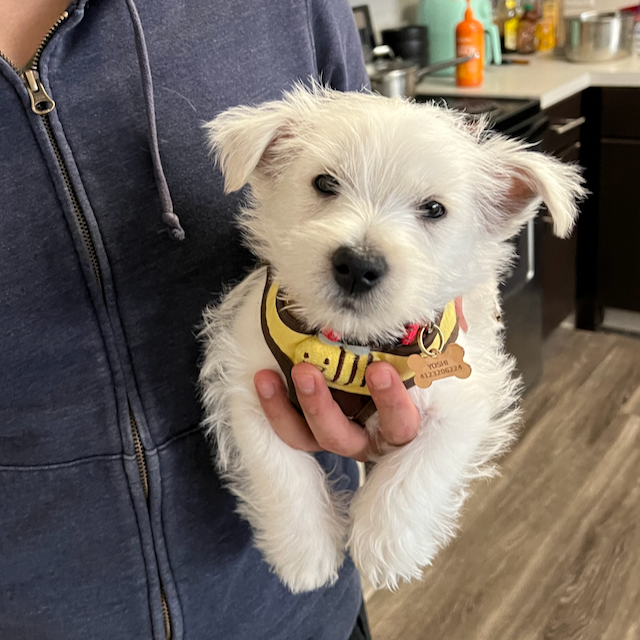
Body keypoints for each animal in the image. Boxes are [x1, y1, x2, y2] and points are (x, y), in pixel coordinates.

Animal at [199, 82, 584, 592]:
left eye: (434, 209)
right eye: (324, 183)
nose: (358, 265)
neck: (350, 344)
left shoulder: (462, 400)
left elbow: (418, 471)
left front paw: (385, 546)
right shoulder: (248, 386)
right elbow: (279, 470)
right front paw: (306, 553)